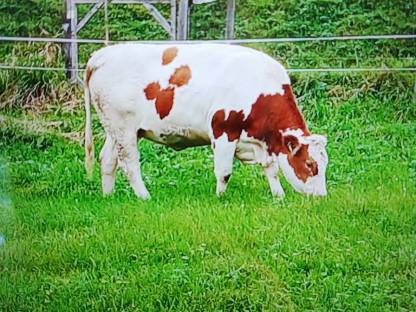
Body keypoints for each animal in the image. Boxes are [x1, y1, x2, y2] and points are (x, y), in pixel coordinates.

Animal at [82, 43, 328, 200]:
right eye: (310, 164)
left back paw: (108, 196)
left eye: (324, 164)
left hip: (114, 130)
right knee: (130, 163)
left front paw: (279, 196)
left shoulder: (262, 142)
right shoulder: (223, 130)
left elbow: (271, 168)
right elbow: (224, 171)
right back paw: (144, 196)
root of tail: (101, 55)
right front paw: (220, 197)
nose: (322, 197)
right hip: (123, 128)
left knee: (108, 160)